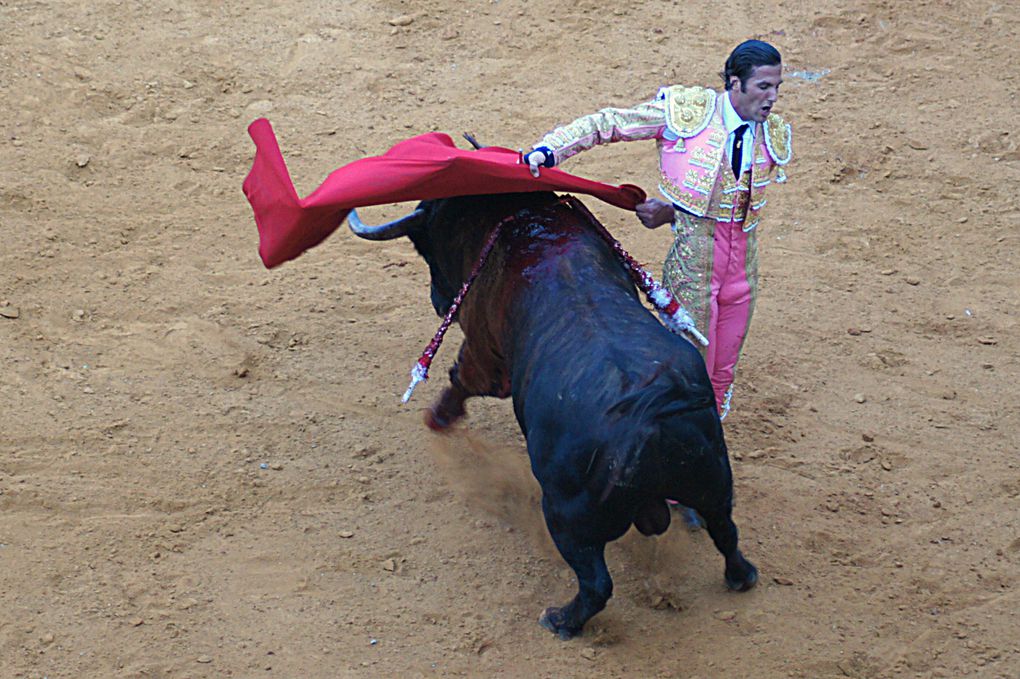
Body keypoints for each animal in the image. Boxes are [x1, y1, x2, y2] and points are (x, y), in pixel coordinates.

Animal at [350, 188, 758, 636]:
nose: (441, 303)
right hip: (714, 484)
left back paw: (560, 619)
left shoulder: (485, 355)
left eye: (425, 245)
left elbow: (462, 379)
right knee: (726, 531)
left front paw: (437, 418)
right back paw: (741, 576)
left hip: (564, 513)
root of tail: (650, 418)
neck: (521, 215)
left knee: (596, 583)